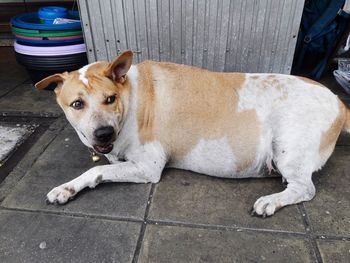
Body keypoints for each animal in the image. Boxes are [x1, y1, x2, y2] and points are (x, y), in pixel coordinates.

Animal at [34, 50, 350, 218]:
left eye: (109, 99)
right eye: (77, 104)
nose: (102, 133)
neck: (131, 96)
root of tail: (339, 102)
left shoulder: (147, 167)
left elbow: (94, 172)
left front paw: (66, 188)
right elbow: (104, 165)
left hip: (287, 146)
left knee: (305, 188)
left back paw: (271, 201)